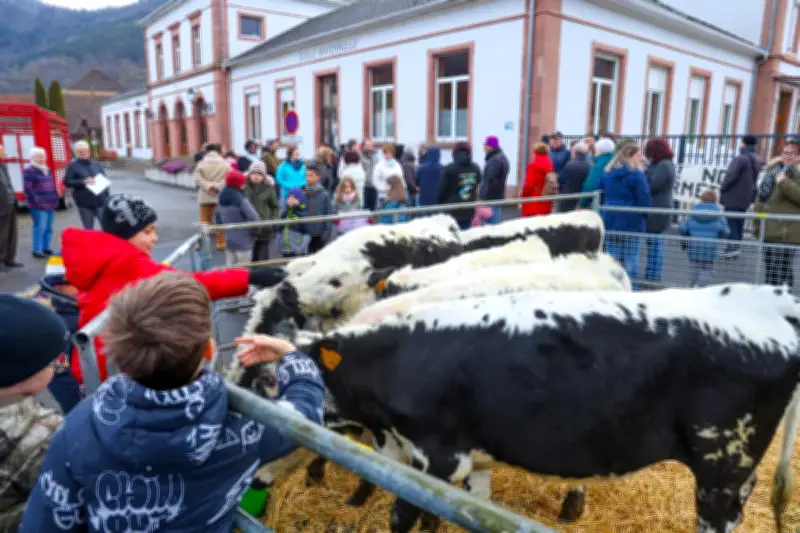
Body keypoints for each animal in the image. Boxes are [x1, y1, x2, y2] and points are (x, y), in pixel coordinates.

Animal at [295, 284, 800, 533]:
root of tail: (770, 297)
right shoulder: (467, 457)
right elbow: (462, 510)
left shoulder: (438, 453)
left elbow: (405, 516)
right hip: (737, 465)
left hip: (721, 459)